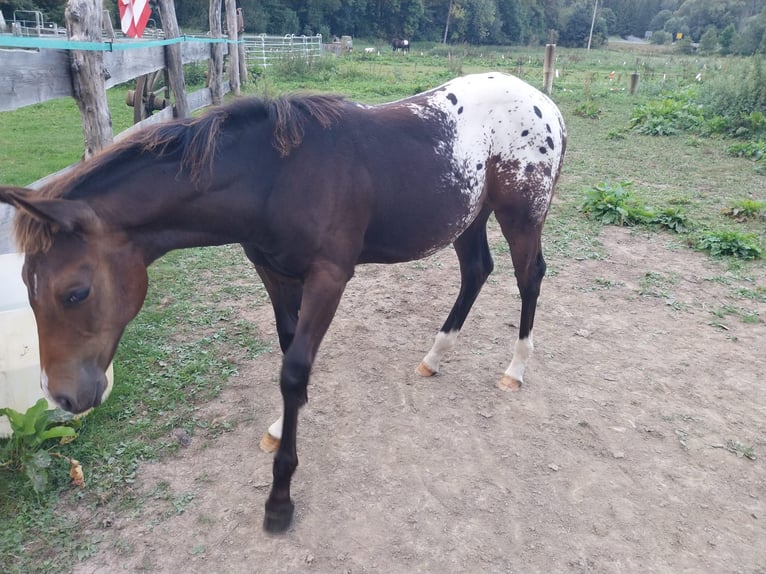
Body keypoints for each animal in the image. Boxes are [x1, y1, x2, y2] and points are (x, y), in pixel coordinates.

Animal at [0, 72, 564, 536]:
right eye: (26, 287)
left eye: (75, 292)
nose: (63, 396)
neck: (275, 178)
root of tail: (545, 104)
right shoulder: (274, 272)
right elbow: (290, 351)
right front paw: (279, 429)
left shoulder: (330, 277)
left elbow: (293, 370)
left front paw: (279, 501)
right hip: (469, 217)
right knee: (476, 271)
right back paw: (434, 357)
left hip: (521, 216)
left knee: (529, 277)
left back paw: (515, 368)